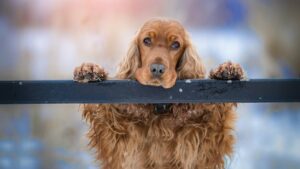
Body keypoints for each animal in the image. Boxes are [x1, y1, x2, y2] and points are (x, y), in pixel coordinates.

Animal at [74, 17, 245, 169]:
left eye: (176, 45)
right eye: (146, 41)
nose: (157, 69)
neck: (159, 109)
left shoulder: (203, 143)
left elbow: (218, 116)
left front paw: (227, 70)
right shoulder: (116, 138)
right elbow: (102, 111)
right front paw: (89, 70)